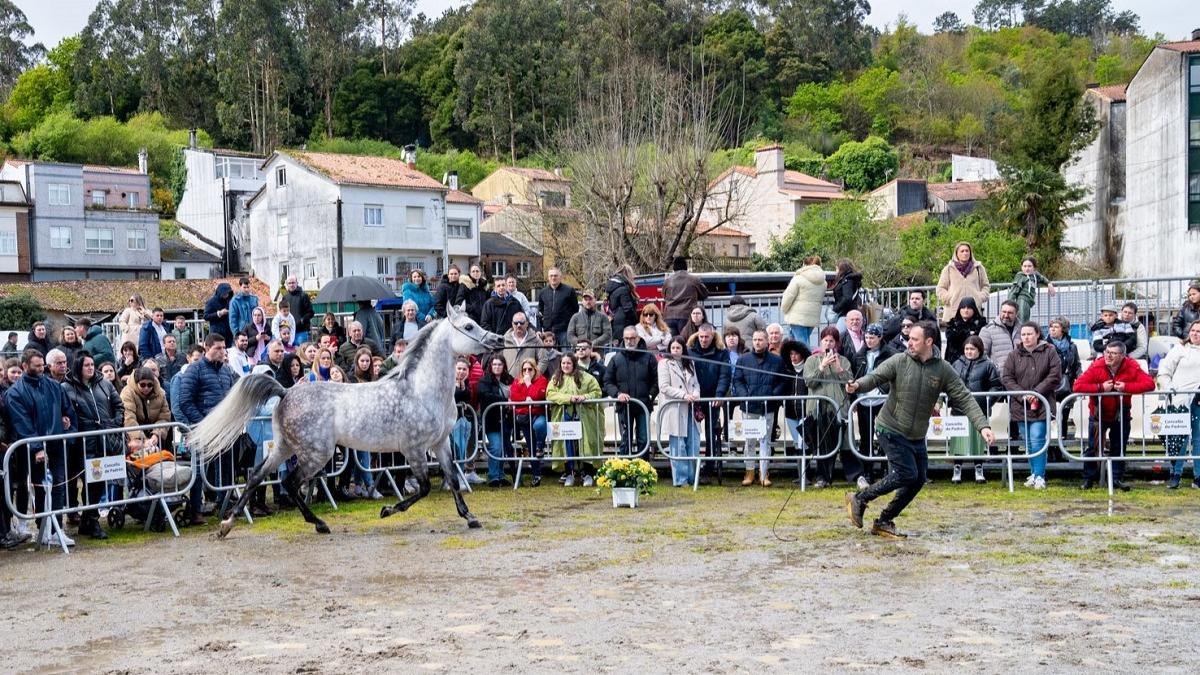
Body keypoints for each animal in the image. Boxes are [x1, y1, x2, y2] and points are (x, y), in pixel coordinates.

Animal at [186, 306, 501, 535]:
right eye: (469, 327)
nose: (497, 341)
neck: (422, 390)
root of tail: (285, 391)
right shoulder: (413, 448)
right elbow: (423, 487)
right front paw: (386, 511)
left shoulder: (440, 443)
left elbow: (453, 478)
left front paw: (470, 517)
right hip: (317, 453)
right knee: (289, 482)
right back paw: (319, 524)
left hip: (284, 447)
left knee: (256, 476)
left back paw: (227, 525)